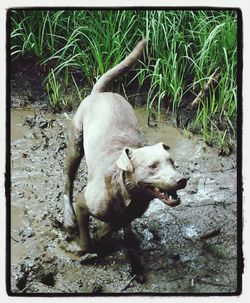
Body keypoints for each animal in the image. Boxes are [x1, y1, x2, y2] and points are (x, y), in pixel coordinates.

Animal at [63, 39, 188, 284]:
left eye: (172, 162)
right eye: (152, 166)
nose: (182, 179)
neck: (126, 191)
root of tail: (101, 93)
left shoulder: (126, 213)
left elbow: (111, 227)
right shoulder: (84, 202)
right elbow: (88, 238)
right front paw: (85, 249)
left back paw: (129, 235)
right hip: (76, 144)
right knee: (68, 180)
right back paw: (68, 217)